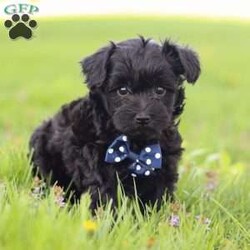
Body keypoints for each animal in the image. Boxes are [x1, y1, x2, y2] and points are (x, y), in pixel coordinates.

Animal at [29, 37, 201, 212]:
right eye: (122, 90)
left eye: (159, 90)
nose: (143, 118)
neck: (136, 144)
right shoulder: (99, 165)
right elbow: (106, 197)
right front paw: (107, 218)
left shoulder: (163, 166)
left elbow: (157, 199)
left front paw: (156, 217)